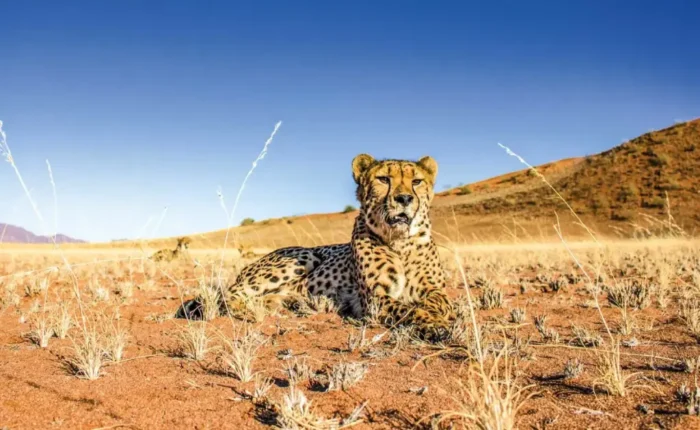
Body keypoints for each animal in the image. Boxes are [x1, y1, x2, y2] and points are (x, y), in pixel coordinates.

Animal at [176, 154, 454, 341]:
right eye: (383, 179)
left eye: (416, 181)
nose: (404, 198)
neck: (400, 241)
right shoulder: (376, 298)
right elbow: (407, 309)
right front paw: (432, 324)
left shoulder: (436, 289)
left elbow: (438, 301)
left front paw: (435, 315)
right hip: (304, 255)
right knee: (227, 296)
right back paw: (254, 310)